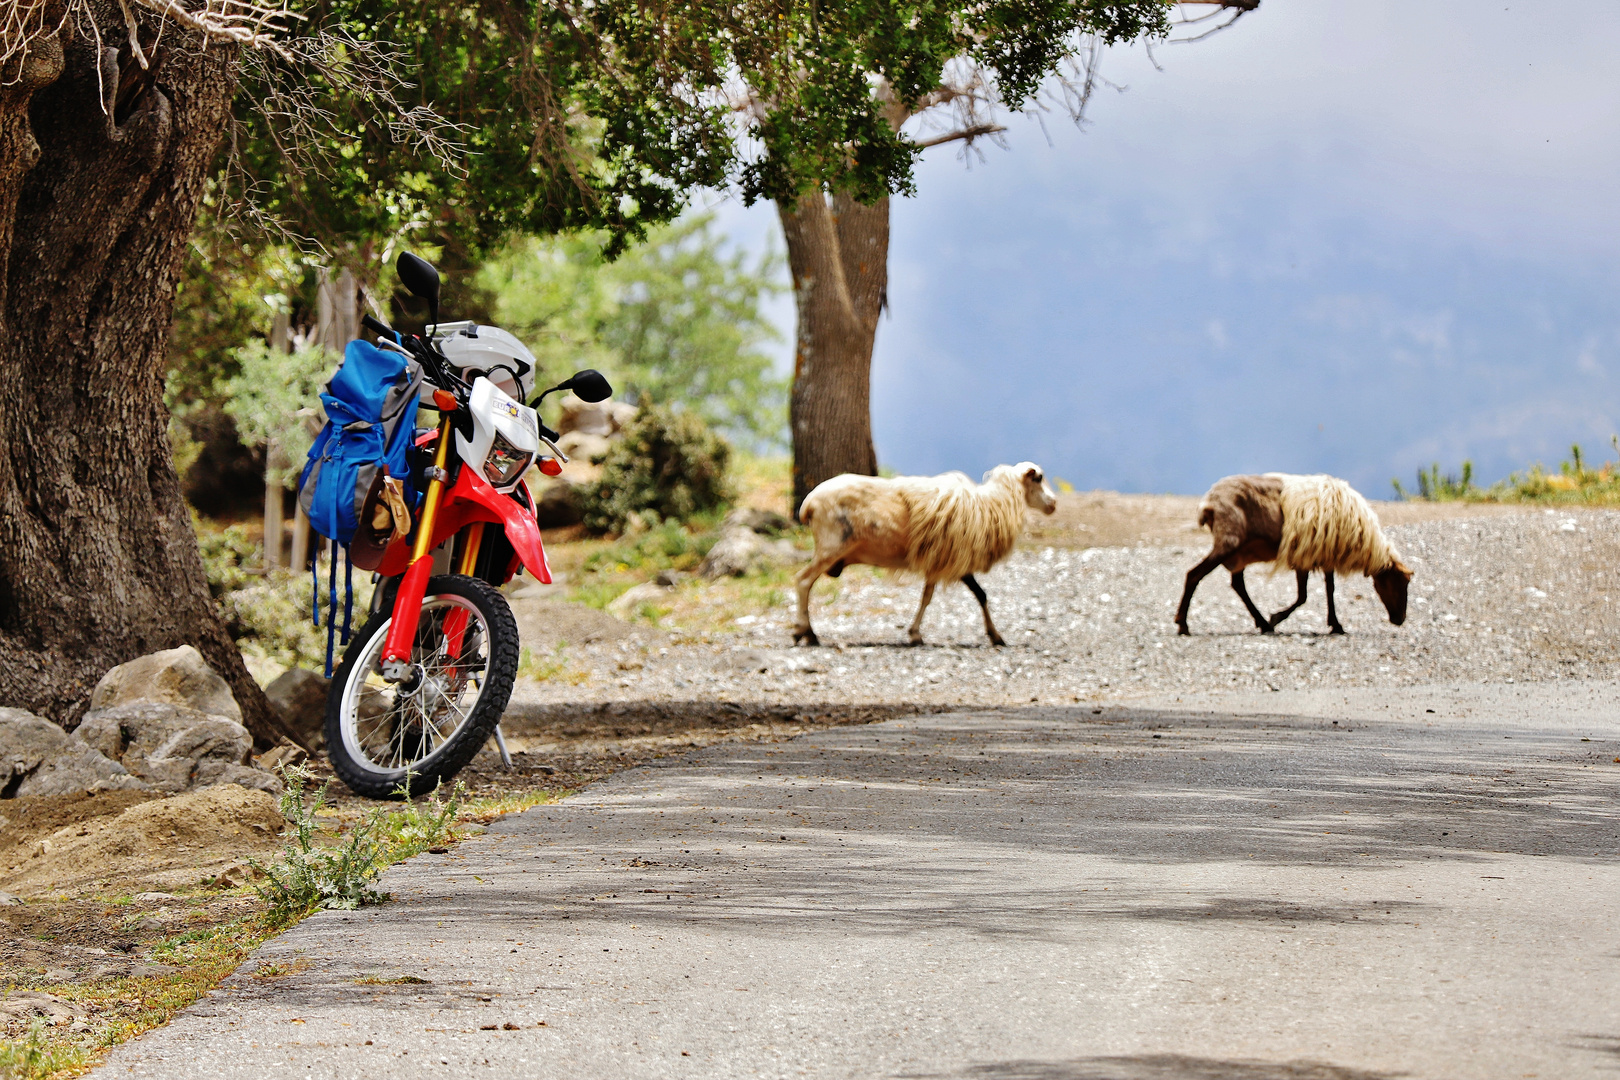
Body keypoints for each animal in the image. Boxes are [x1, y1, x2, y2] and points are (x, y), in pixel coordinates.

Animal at [787, 459, 1062, 647]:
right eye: (1038, 478)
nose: (1054, 504)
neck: (994, 504)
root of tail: (809, 503)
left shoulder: (940, 560)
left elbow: (932, 597)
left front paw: (915, 633)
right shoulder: (953, 560)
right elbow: (976, 595)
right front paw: (995, 635)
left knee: (805, 582)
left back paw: (807, 632)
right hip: (832, 546)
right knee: (803, 581)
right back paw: (805, 632)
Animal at [1172, 469, 1412, 637]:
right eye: (1399, 582)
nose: (1400, 619)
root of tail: (1208, 502)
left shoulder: (1320, 555)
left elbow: (1328, 589)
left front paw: (1336, 624)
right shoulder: (1305, 555)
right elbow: (1303, 596)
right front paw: (1277, 617)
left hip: (1239, 551)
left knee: (1237, 584)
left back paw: (1262, 623)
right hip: (1228, 542)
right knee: (1194, 575)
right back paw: (1183, 624)